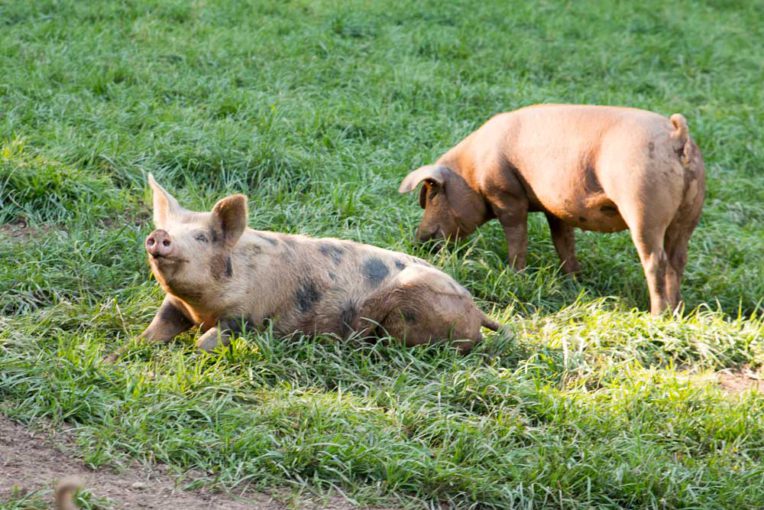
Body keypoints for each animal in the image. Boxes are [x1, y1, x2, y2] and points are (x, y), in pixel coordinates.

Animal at [142, 175, 502, 354]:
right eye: (169, 227)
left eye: (202, 237)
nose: (160, 235)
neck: (200, 307)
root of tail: (477, 310)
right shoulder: (174, 305)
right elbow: (156, 327)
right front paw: (133, 346)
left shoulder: (247, 316)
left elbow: (208, 339)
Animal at [400, 104, 704, 314]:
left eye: (431, 195)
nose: (418, 240)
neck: (471, 171)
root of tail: (676, 134)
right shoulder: (557, 210)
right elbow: (564, 242)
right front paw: (574, 280)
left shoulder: (506, 197)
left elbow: (518, 238)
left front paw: (514, 273)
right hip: (689, 214)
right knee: (678, 259)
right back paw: (677, 311)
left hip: (643, 208)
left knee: (656, 261)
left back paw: (657, 314)